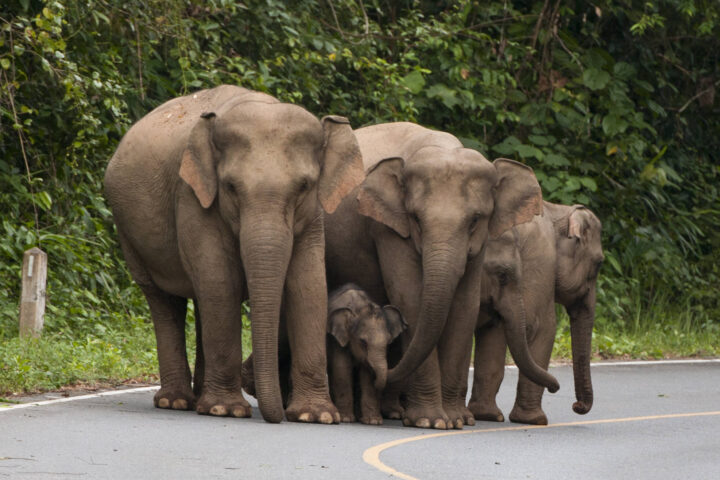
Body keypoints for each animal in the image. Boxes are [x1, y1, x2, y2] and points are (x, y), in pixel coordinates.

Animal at [103, 84, 362, 422]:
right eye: (230, 186)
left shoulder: (314, 214)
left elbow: (309, 285)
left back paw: (199, 396)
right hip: (129, 236)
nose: (276, 415)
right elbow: (219, 280)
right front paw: (226, 410)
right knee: (165, 301)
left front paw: (315, 416)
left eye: (305, 186)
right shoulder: (193, 196)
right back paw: (177, 402)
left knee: (202, 301)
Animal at [324, 284, 404, 426]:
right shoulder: (337, 340)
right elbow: (342, 369)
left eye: (389, 342)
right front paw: (346, 419)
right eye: (363, 342)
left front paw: (373, 421)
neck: (359, 307)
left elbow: (367, 374)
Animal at [466, 201, 600, 426]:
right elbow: (540, 328)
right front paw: (535, 420)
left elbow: (493, 327)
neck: (556, 210)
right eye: (599, 263)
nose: (577, 406)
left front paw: (488, 416)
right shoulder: (541, 262)